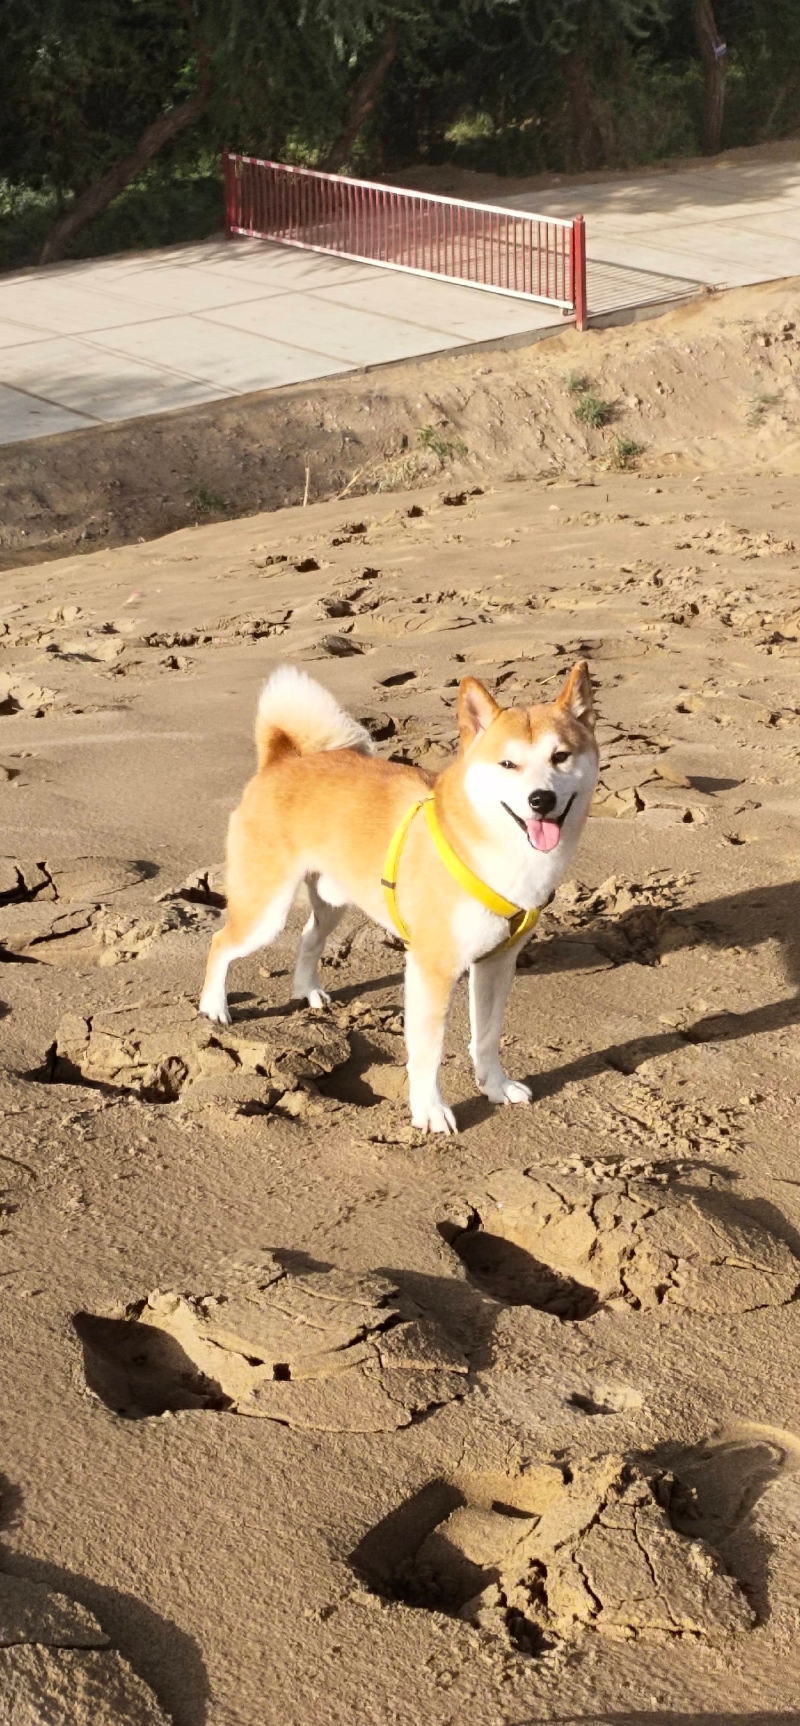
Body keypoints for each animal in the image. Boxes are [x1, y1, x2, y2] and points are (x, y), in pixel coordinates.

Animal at [203, 659, 597, 1132]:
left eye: (561, 756)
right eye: (508, 763)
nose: (541, 800)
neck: (487, 845)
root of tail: (281, 760)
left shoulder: (496, 963)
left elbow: (486, 1037)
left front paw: (496, 1087)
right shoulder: (432, 968)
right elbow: (427, 1051)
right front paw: (429, 1110)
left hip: (333, 901)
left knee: (309, 937)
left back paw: (307, 990)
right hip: (265, 910)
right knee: (221, 942)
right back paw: (214, 1006)